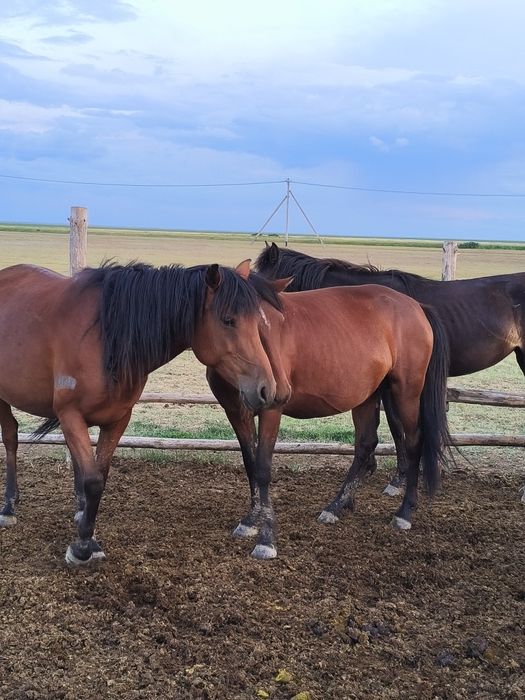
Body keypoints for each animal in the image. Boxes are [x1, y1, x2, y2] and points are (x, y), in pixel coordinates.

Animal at [0, 259, 282, 566]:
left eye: (257, 323)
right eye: (228, 320)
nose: (267, 389)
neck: (106, 337)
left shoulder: (117, 419)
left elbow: (99, 476)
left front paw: (88, 531)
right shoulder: (70, 415)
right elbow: (92, 481)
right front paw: (82, 546)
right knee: (11, 439)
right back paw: (9, 507)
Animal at [207, 278, 452, 559]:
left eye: (261, 322)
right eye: (231, 321)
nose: (269, 381)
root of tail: (417, 307)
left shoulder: (271, 409)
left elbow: (261, 467)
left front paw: (264, 537)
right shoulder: (236, 412)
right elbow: (250, 465)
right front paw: (250, 520)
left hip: (406, 392)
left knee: (413, 443)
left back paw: (405, 512)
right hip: (368, 395)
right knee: (366, 444)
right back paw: (336, 506)